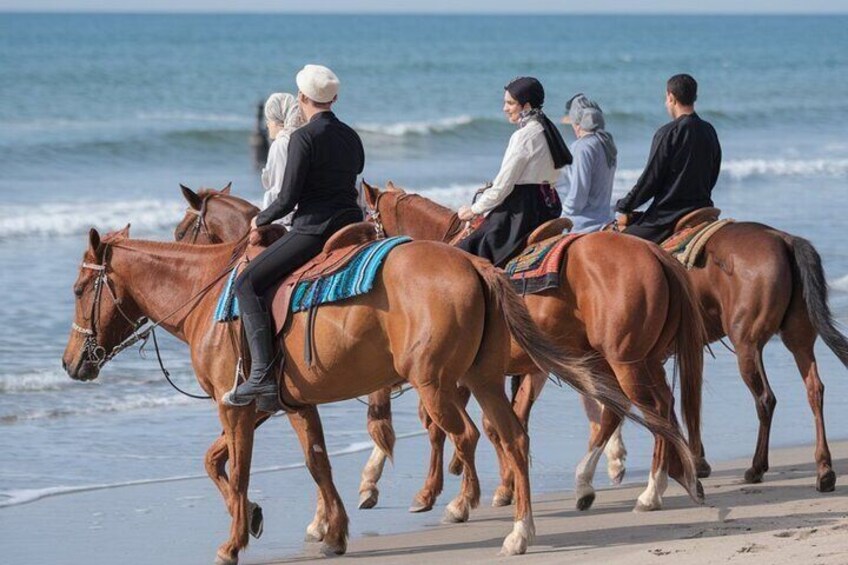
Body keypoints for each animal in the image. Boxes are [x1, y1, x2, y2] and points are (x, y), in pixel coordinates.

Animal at [59, 224, 684, 560]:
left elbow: (236, 468)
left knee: (471, 435)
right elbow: (305, 463)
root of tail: (477, 266)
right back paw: (521, 530)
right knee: (513, 437)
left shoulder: (235, 409)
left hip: (443, 384)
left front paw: (235, 540)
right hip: (483, 380)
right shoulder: (286, 405)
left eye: (79, 289)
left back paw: (472, 503)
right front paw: (323, 529)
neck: (212, 298)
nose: (70, 363)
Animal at [174, 184, 708, 512]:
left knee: (650, 408)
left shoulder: (432, 371)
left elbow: (428, 425)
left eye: (183, 229)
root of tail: (654, 254)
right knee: (646, 407)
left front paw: (424, 488)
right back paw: (648, 478)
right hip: (622, 358)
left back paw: (648, 488)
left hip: (623, 358)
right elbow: (467, 426)